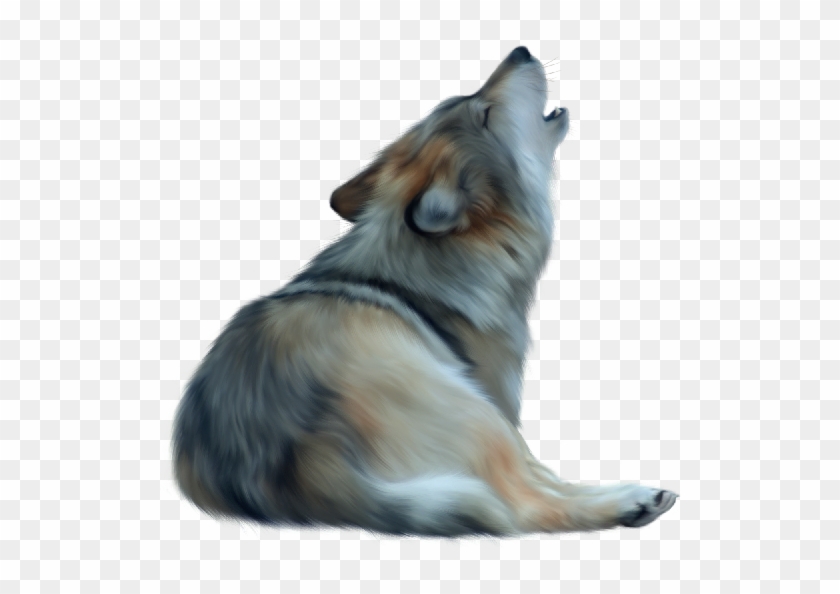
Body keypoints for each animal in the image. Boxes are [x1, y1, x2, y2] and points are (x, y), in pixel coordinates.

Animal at [172, 46, 678, 536]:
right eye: (485, 113)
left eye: (470, 100)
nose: (520, 50)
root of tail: (289, 464)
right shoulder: (500, 404)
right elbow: (540, 480)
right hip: (477, 413)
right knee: (524, 509)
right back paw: (633, 501)